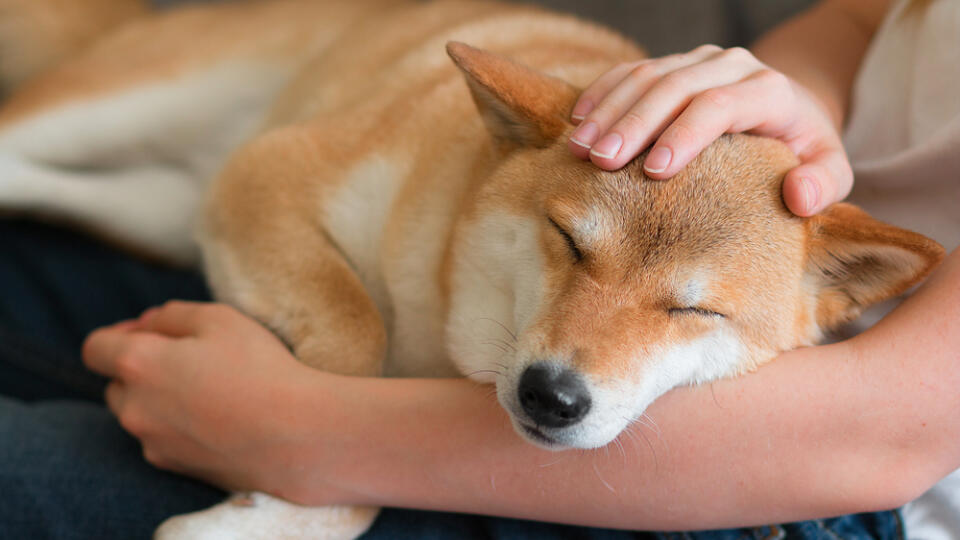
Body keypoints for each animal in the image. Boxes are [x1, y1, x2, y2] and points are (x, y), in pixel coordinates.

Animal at [0, 0, 944, 536]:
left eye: (695, 312)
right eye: (569, 241)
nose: (552, 396)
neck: (439, 321)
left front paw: (273, 516)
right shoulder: (269, 171)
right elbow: (352, 337)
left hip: (159, 206)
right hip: (124, 107)